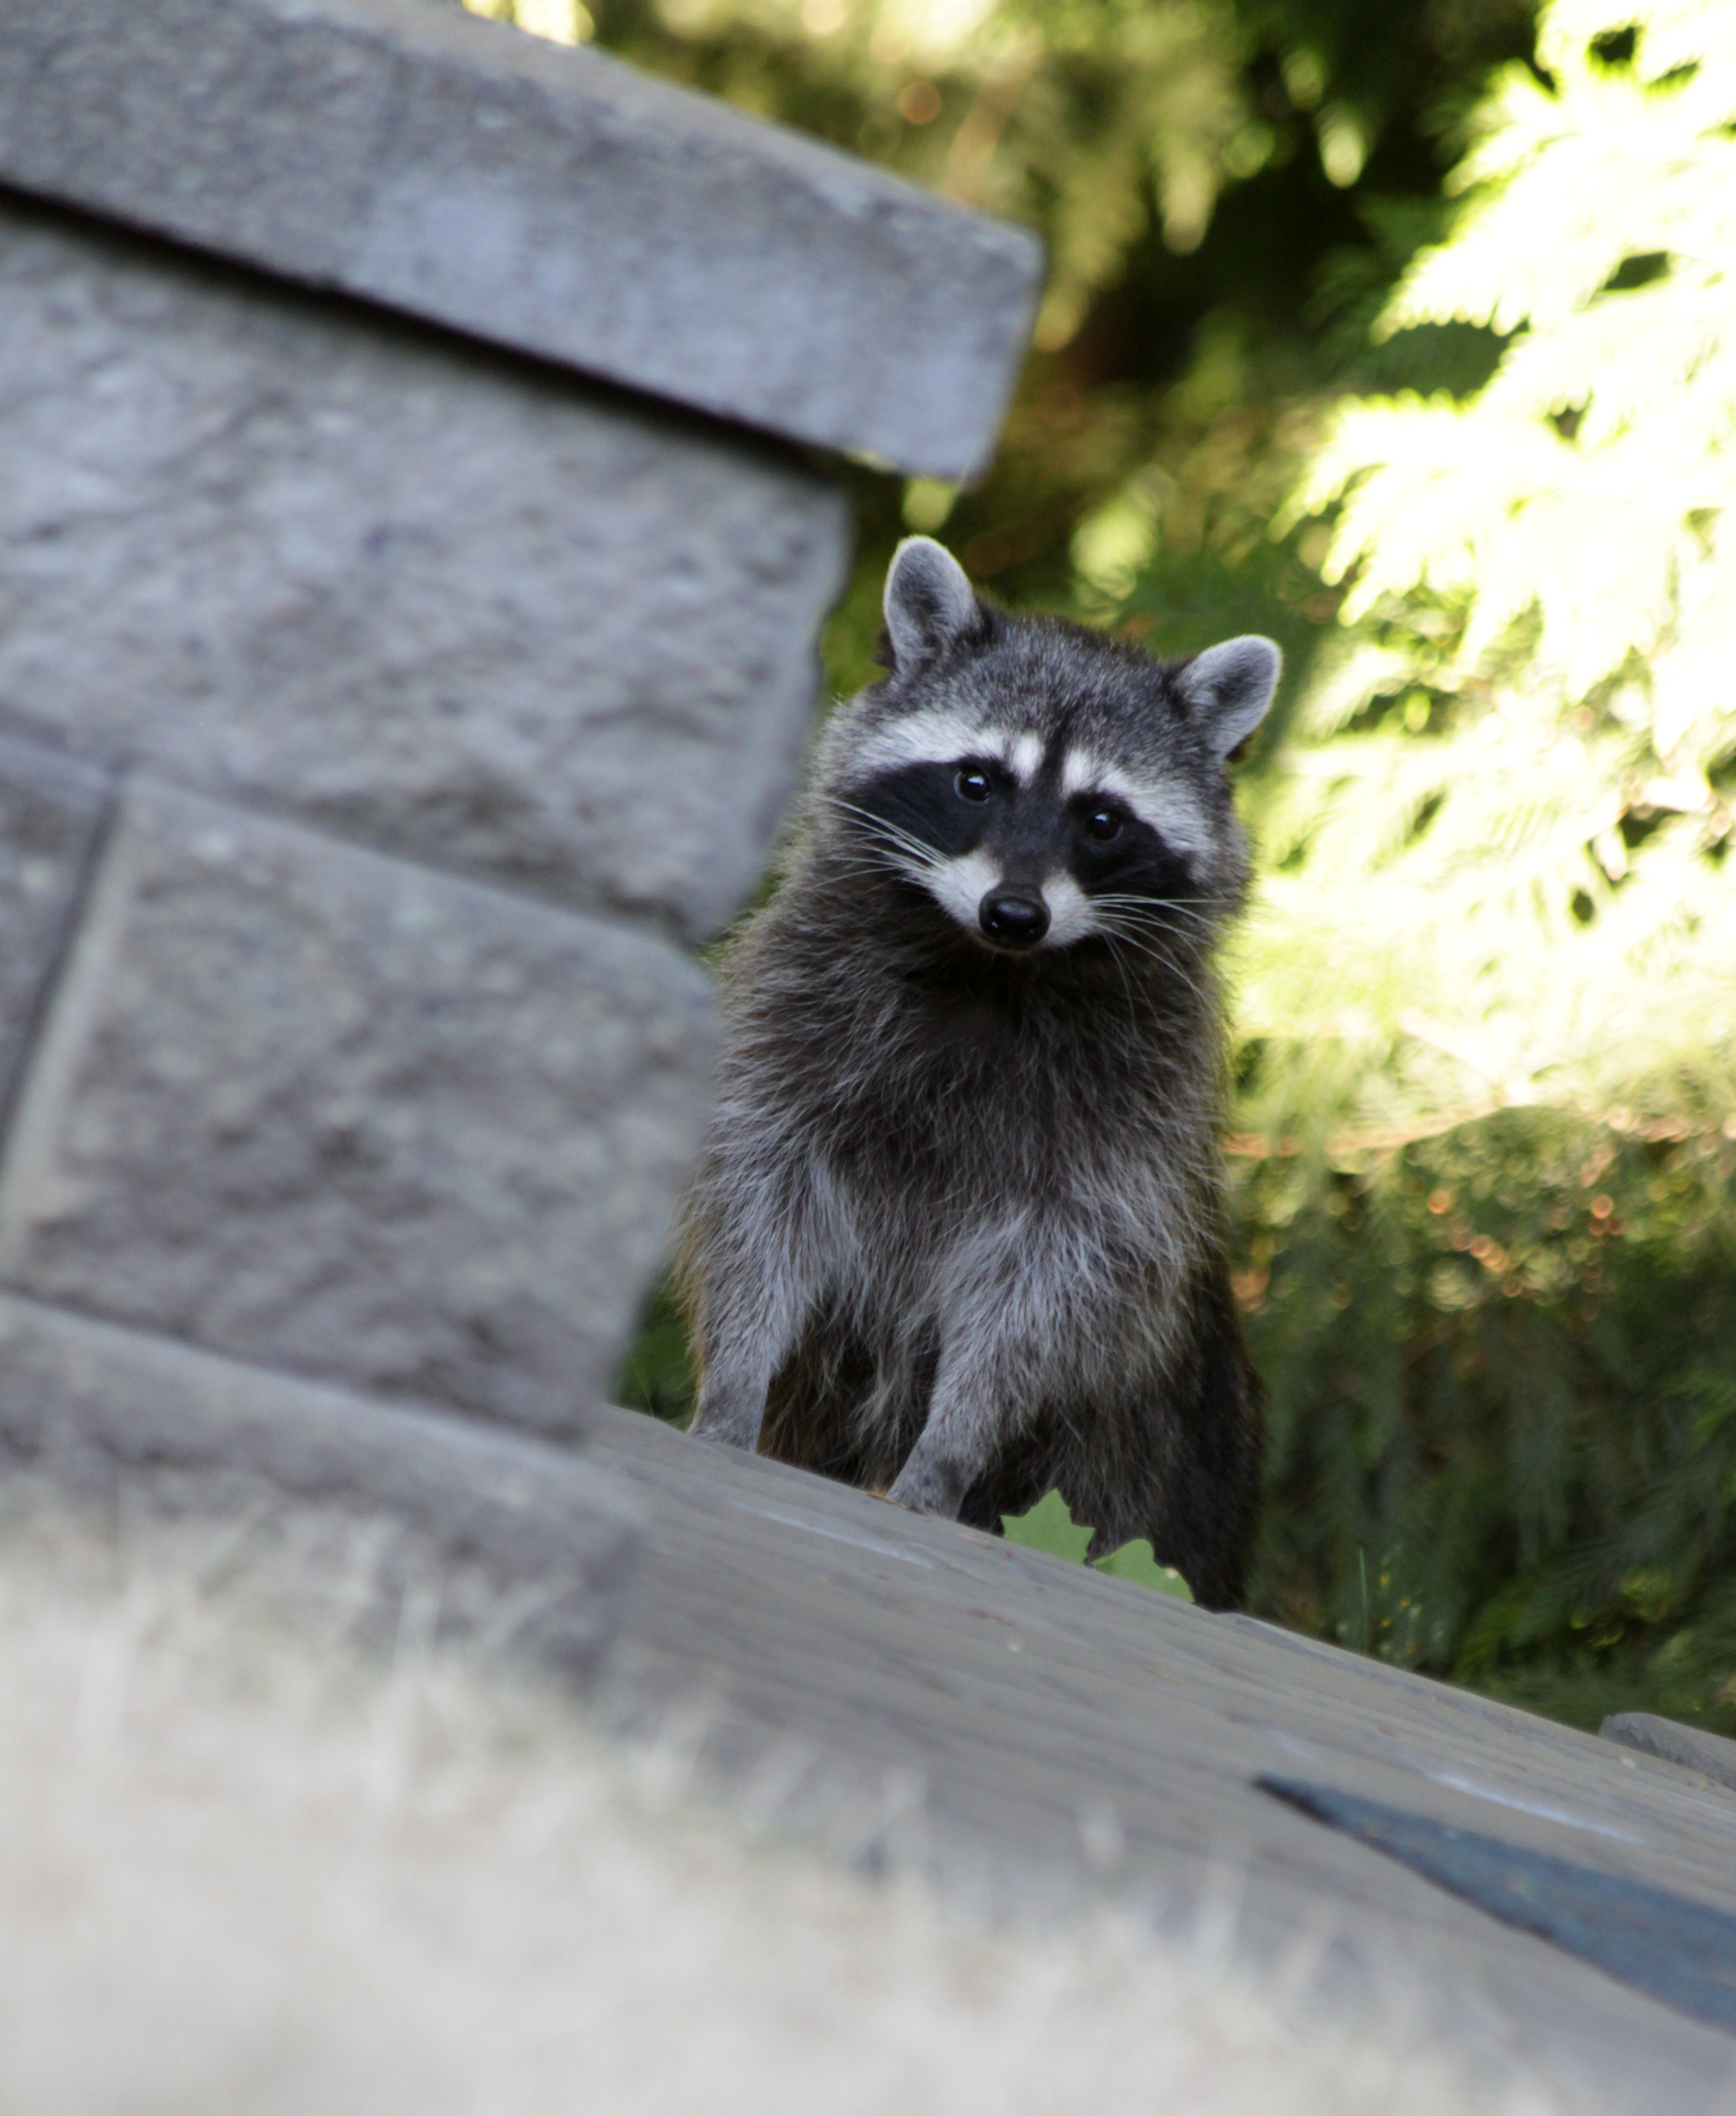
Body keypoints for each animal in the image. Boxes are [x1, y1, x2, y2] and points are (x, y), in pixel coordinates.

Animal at [679, 537, 1279, 1610]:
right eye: (976, 781)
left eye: (1101, 818)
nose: (1015, 912)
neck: (990, 969)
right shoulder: (792, 1026)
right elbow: (761, 1202)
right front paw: (736, 1377)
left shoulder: (1125, 1129)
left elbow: (1048, 1290)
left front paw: (947, 1448)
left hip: (1169, 1456)